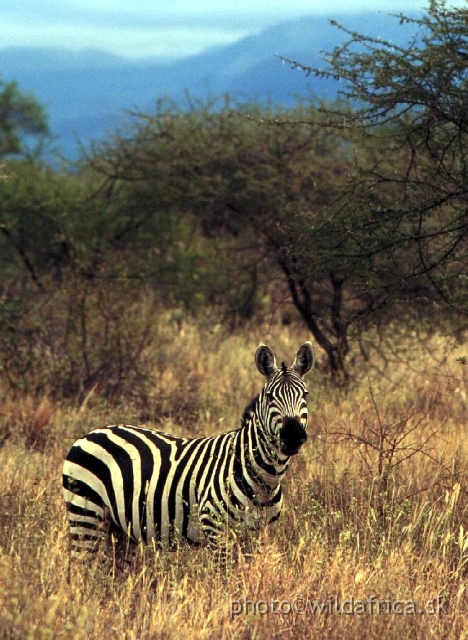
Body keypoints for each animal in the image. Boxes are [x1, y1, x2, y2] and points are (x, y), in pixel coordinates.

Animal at [62, 340, 314, 560]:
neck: (264, 480)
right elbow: (226, 579)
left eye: (305, 395)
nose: (293, 436)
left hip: (120, 528)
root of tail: (90, 433)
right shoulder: (215, 528)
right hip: (85, 515)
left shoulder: (259, 534)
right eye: (270, 397)